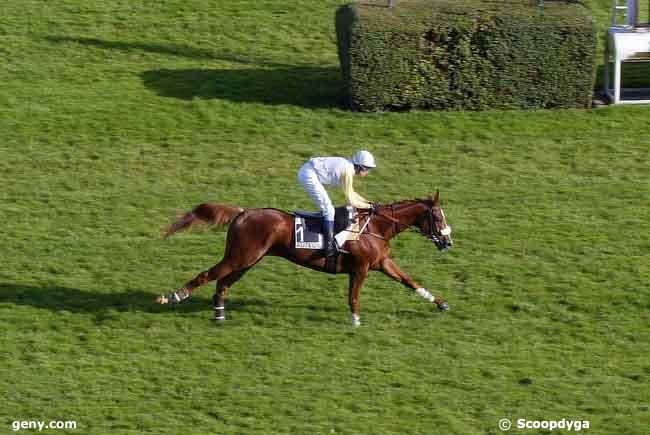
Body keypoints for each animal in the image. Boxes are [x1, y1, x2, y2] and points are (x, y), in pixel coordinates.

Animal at [157, 192, 450, 326]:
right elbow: (354, 296)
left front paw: (440, 303)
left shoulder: (382, 264)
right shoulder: (361, 268)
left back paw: (219, 313)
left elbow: (409, 281)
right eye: (437, 217)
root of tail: (243, 212)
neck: (375, 227)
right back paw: (173, 297)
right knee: (207, 275)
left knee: (222, 284)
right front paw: (355, 320)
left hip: (248, 260)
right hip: (241, 257)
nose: (448, 242)